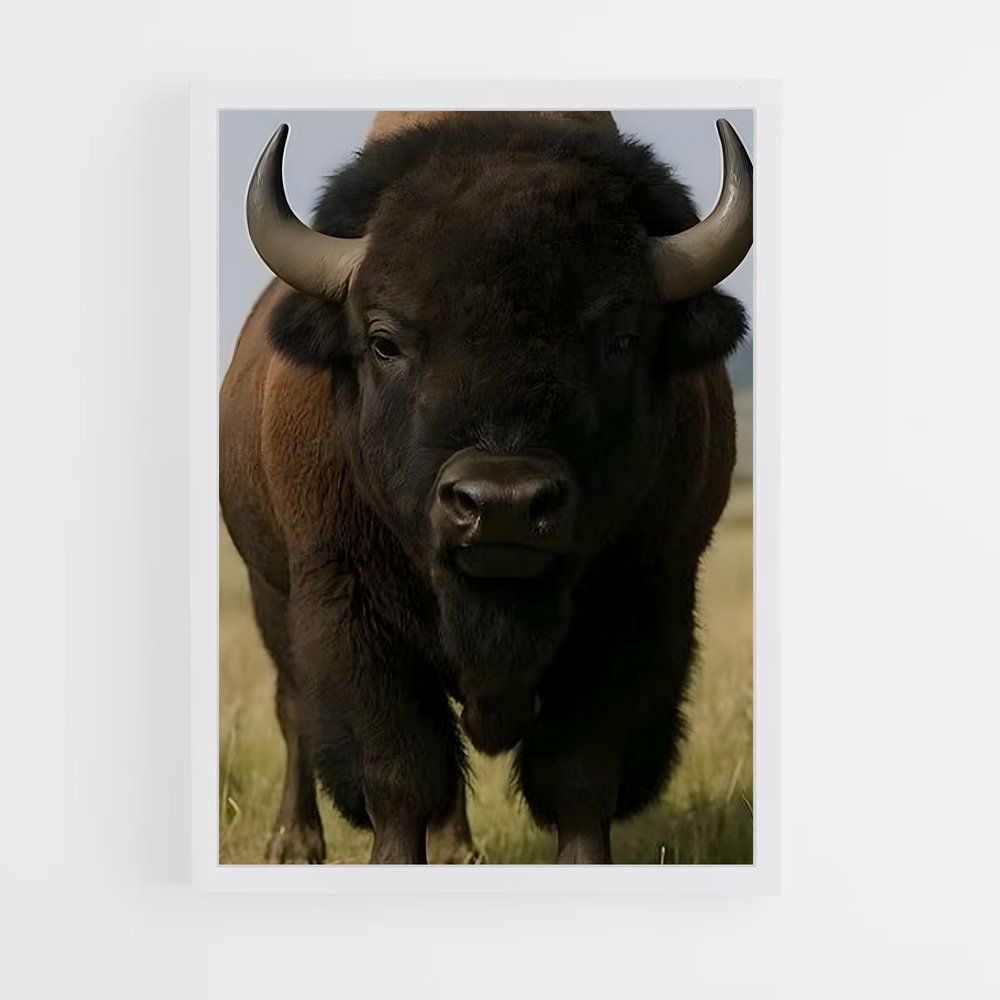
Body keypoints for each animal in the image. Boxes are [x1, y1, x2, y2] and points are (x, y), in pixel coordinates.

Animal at [220, 110, 752, 864]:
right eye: (384, 340)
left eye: (620, 338)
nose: (502, 506)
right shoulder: (346, 610)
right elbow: (399, 773)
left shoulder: (642, 603)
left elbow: (580, 775)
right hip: (270, 592)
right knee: (294, 708)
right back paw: (295, 843)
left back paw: (454, 848)